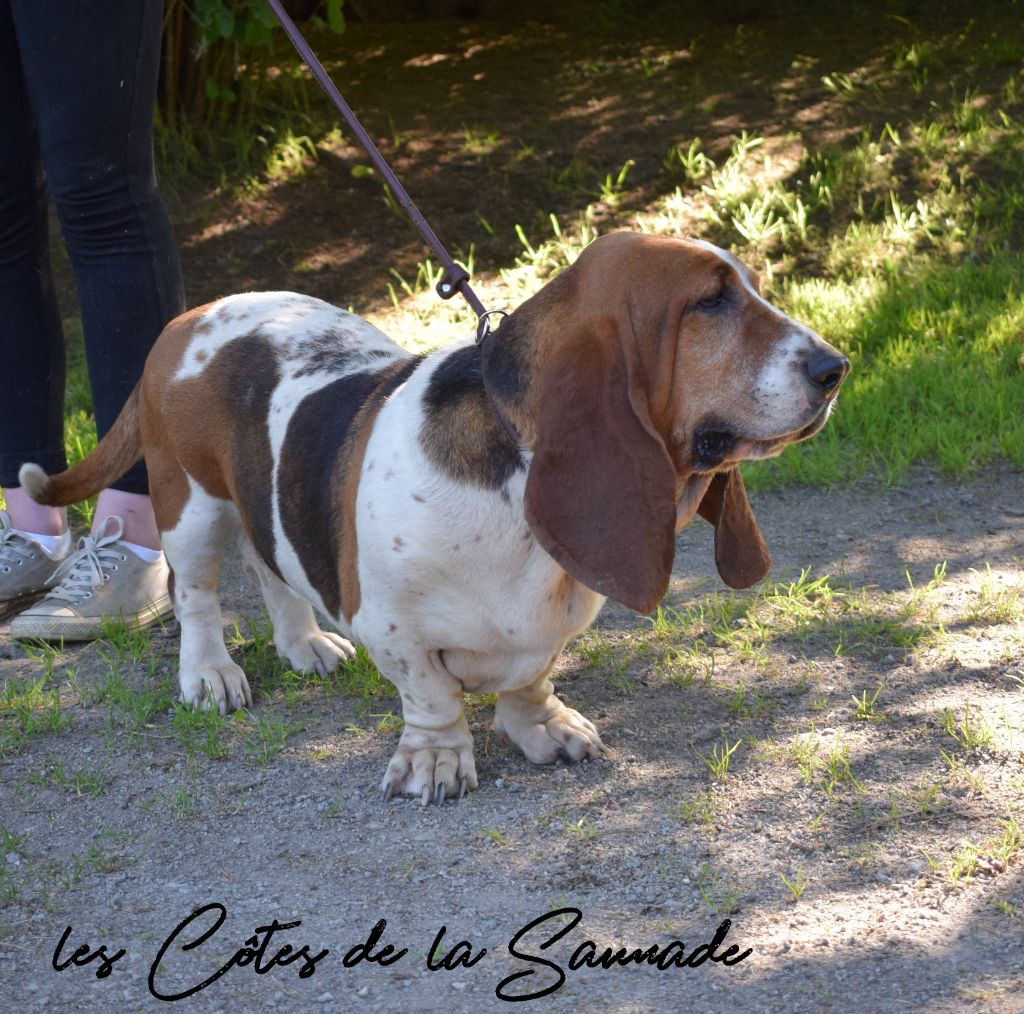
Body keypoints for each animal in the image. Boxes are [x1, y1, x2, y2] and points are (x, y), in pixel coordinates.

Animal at [22, 230, 847, 803]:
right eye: (710, 302)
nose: (835, 368)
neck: (512, 497)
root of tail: (186, 319)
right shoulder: (393, 628)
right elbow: (432, 697)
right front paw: (437, 761)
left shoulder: (551, 625)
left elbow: (531, 678)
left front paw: (542, 727)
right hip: (190, 506)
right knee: (195, 597)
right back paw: (211, 677)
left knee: (272, 567)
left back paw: (304, 646)